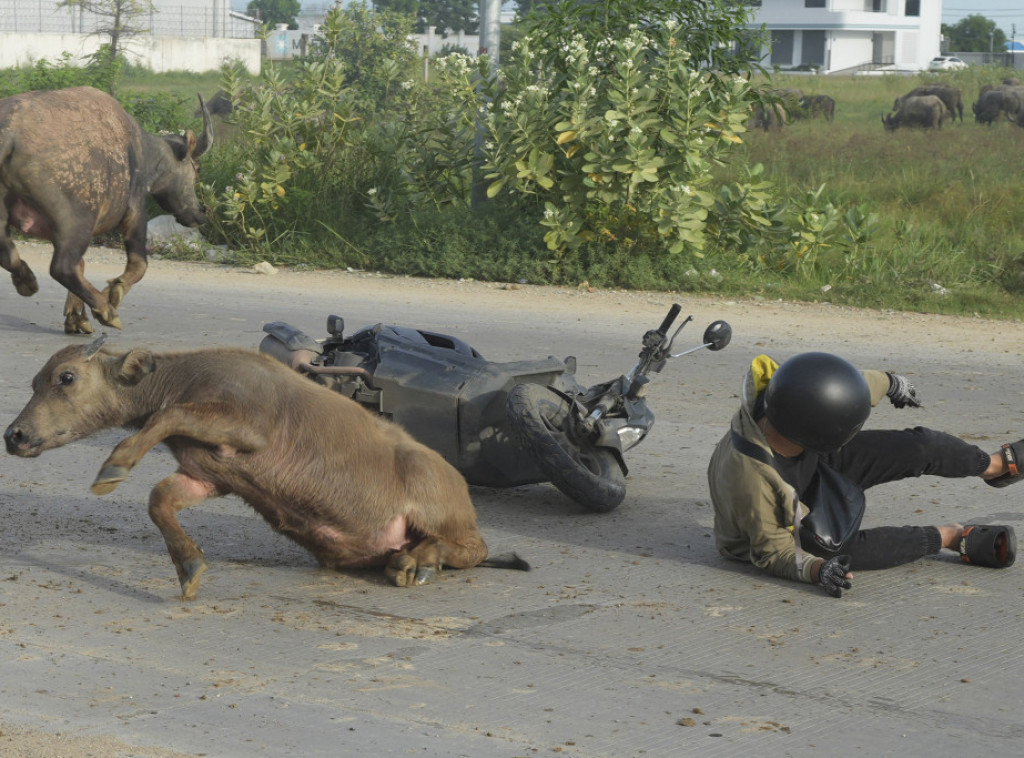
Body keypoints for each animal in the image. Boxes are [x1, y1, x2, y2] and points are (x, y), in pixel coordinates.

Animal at [0, 84, 211, 333]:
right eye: (197, 168)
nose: (199, 213)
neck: (140, 150)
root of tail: (9, 132)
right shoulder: (135, 211)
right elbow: (139, 264)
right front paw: (113, 293)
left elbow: (83, 265)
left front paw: (76, 317)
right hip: (77, 222)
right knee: (63, 267)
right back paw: (106, 310)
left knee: (10, 255)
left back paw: (26, 280)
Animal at [2, 338, 528, 598]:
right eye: (35, 381)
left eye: (66, 378)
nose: (15, 435)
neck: (186, 377)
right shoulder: (209, 476)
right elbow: (159, 500)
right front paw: (188, 567)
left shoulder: (247, 428)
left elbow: (165, 416)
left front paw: (114, 467)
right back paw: (408, 561)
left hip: (438, 501)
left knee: (473, 548)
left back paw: (417, 564)